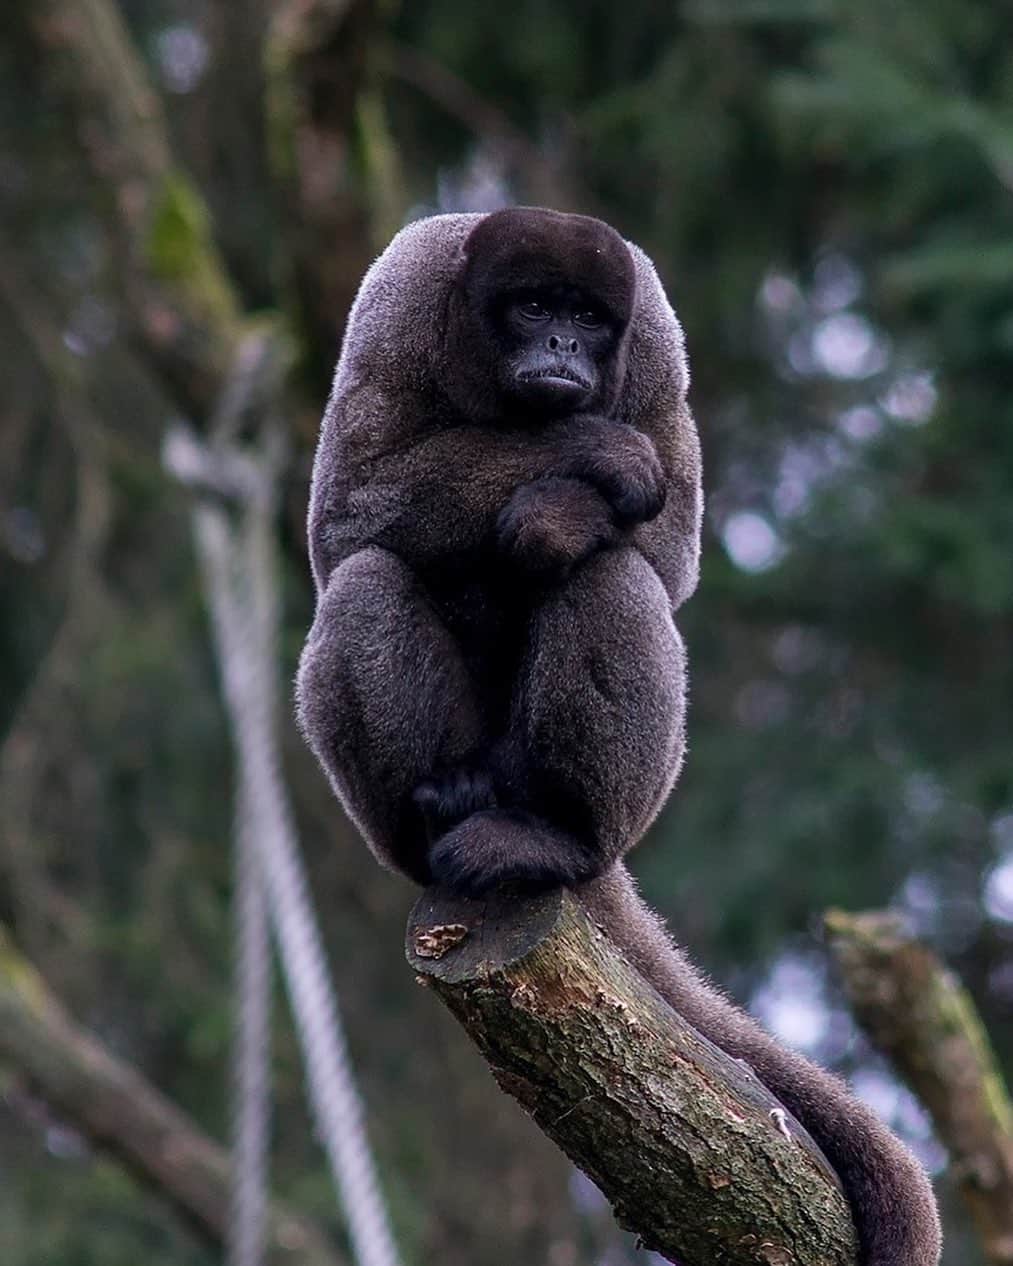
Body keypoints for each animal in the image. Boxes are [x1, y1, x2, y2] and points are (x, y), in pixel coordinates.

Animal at [296, 207, 941, 1266]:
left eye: (588, 319)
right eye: (532, 307)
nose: (562, 348)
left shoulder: (658, 341)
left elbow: (668, 554)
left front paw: (566, 502)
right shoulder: (397, 299)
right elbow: (344, 513)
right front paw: (584, 452)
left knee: (613, 573)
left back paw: (554, 835)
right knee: (365, 577)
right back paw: (443, 808)